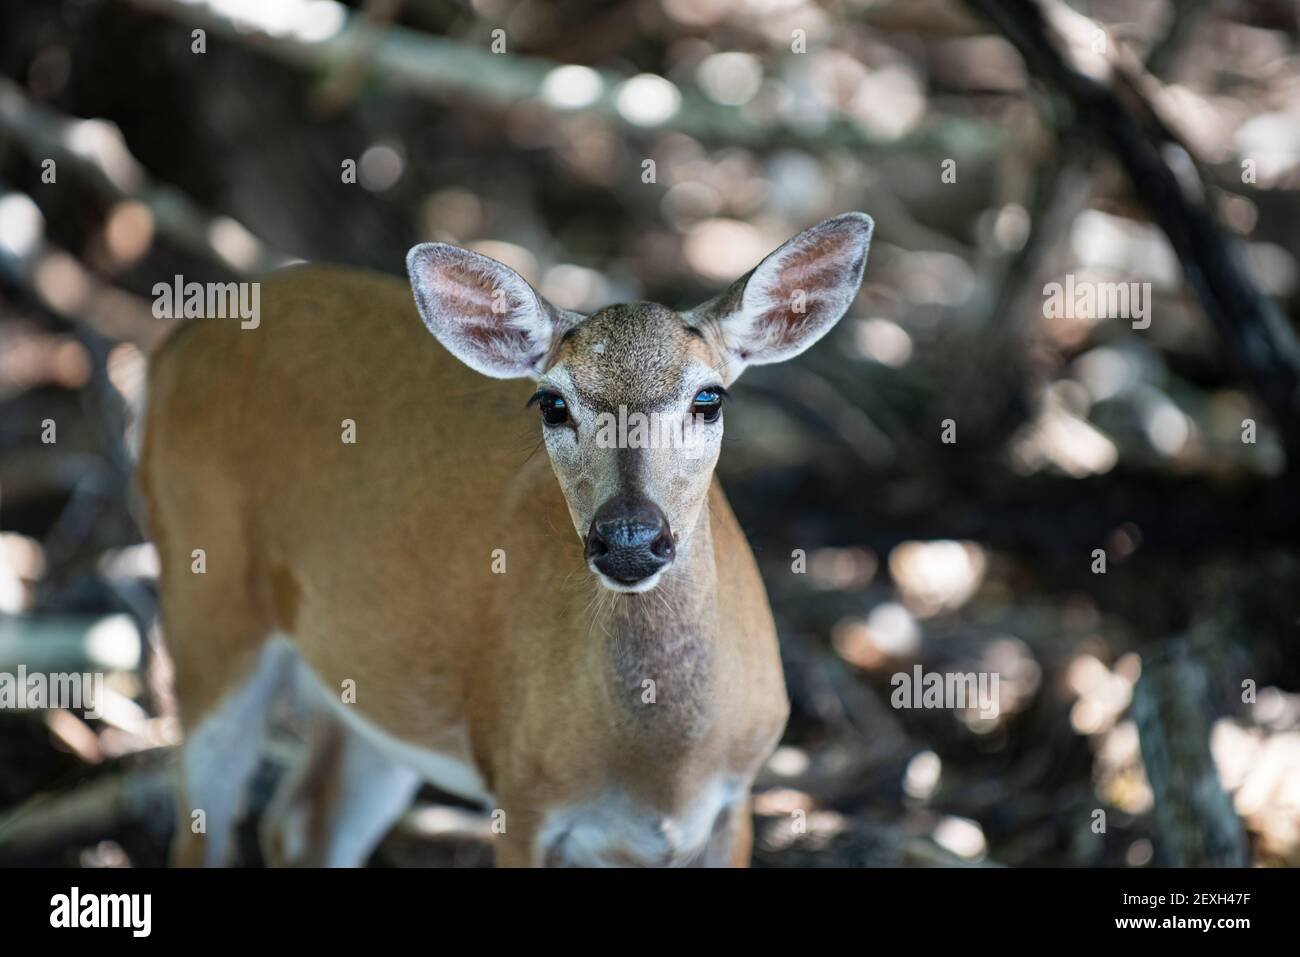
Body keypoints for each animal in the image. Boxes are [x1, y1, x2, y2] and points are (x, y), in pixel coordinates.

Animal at [139, 214, 873, 868]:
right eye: (552, 403)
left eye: (709, 398)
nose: (628, 539)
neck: (663, 773)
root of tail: (176, 342)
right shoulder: (521, 793)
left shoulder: (738, 798)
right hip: (205, 595)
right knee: (201, 829)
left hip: (379, 685)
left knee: (301, 823)